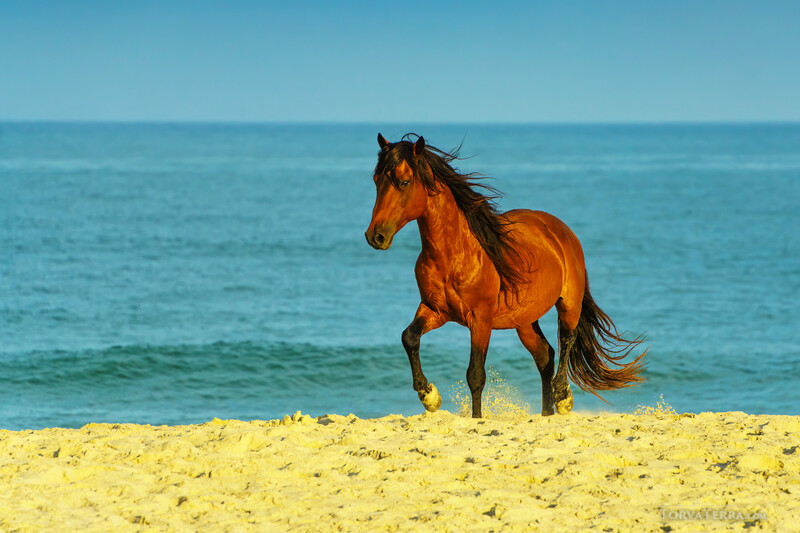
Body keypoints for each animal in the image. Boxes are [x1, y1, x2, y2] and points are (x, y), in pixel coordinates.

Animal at [365, 133, 647, 418]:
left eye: (404, 182)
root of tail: (560, 230)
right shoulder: (435, 310)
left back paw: (563, 397)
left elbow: (475, 375)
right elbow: (409, 337)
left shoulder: (480, 319)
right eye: (376, 180)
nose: (375, 236)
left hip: (568, 303)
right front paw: (430, 396)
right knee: (545, 356)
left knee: (567, 338)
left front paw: (475, 419)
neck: (454, 254)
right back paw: (546, 413)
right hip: (524, 321)